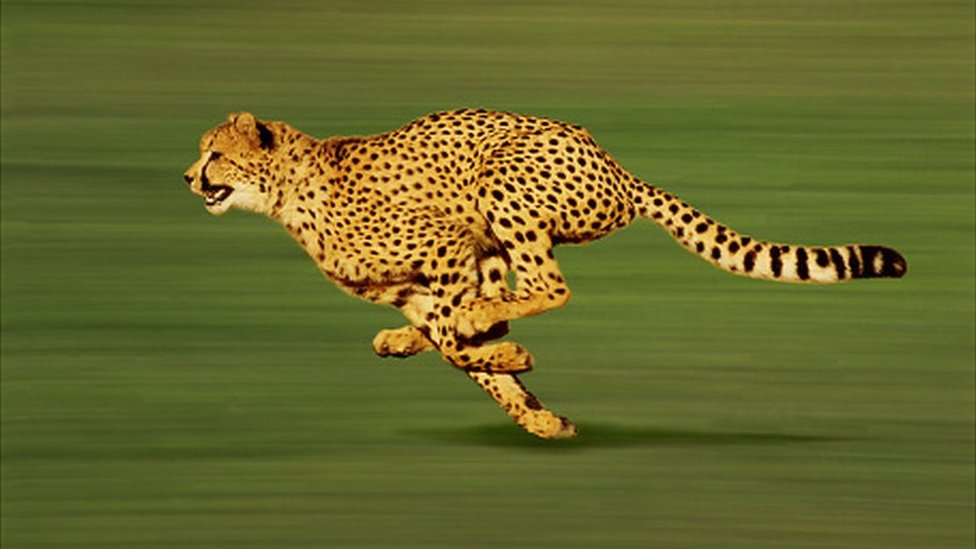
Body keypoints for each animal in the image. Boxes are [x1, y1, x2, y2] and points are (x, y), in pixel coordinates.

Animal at [183, 109, 907, 439]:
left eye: (214, 154)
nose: (188, 177)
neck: (287, 192)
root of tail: (616, 165)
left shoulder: (446, 248)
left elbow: (461, 342)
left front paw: (514, 367)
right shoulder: (423, 282)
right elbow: (459, 350)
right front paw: (537, 417)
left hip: (501, 180)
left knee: (547, 287)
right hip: (494, 235)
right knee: (502, 298)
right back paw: (411, 340)